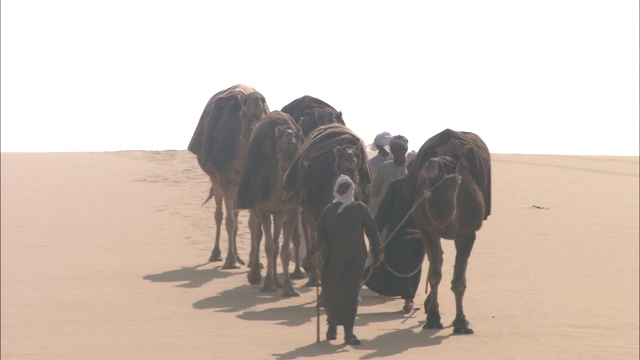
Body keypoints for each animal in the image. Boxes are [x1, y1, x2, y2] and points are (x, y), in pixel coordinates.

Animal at [186, 84, 268, 268]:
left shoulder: (250, 184)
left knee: (236, 216)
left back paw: (241, 257)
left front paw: (255, 262)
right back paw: (217, 254)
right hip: (216, 179)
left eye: (263, 113)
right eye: (243, 111)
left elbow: (253, 223)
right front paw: (230, 261)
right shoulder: (224, 179)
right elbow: (229, 221)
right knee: (220, 214)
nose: (258, 98)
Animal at [238, 111, 304, 296]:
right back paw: (255, 275)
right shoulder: (263, 208)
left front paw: (288, 288)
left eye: (297, 134)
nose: (289, 136)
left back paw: (277, 281)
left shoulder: (292, 210)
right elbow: (268, 246)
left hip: (280, 214)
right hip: (256, 208)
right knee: (257, 231)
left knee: (276, 240)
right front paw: (267, 284)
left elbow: (284, 249)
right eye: (281, 135)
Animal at [284, 124, 372, 286]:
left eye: (357, 156)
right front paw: (317, 276)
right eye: (342, 155)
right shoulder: (316, 211)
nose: (351, 158)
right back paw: (312, 273)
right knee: (308, 228)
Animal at [402, 129, 492, 334]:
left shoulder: (467, 234)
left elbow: (459, 281)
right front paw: (434, 319)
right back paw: (429, 305)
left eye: (448, 165)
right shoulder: (429, 231)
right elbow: (435, 276)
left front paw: (461, 322)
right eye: (433, 158)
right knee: (435, 262)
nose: (429, 164)